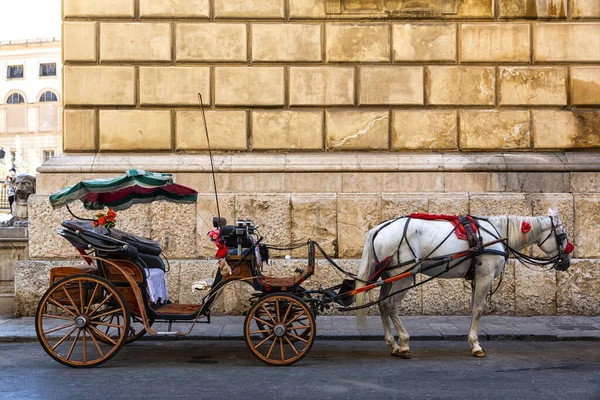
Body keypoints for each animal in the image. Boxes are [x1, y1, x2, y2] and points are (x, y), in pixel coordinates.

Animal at [354, 209, 576, 360]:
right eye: (563, 236)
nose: (566, 262)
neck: (496, 234)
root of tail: (378, 229)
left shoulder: (477, 277)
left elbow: (473, 309)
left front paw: (472, 340)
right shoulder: (485, 276)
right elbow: (478, 309)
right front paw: (476, 345)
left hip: (388, 276)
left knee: (383, 305)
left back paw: (392, 343)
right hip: (404, 276)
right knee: (391, 306)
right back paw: (404, 343)